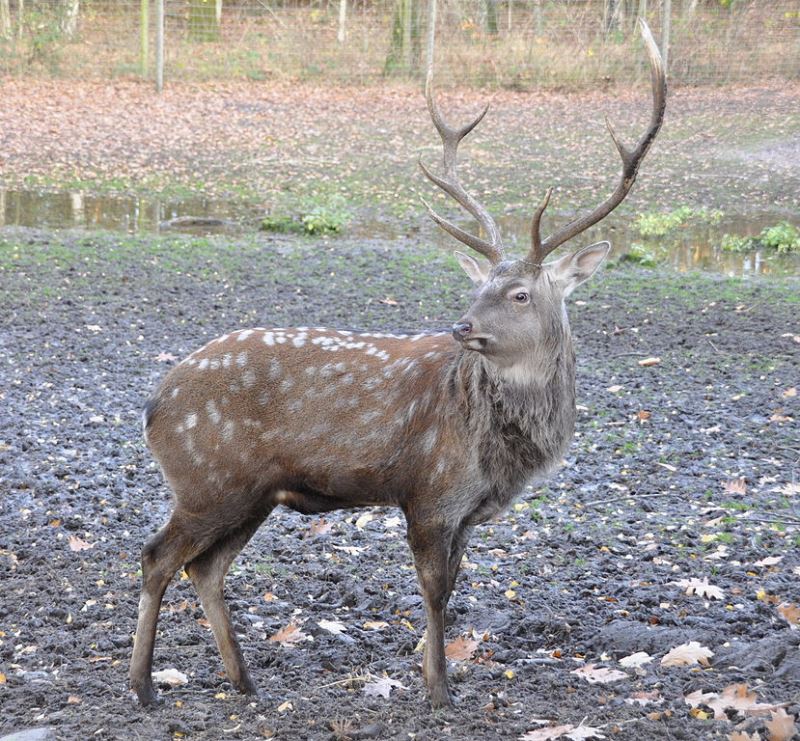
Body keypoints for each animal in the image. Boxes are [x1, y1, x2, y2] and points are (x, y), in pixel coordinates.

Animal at [130, 20, 666, 710]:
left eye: (520, 294)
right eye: (478, 286)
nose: (462, 327)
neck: (498, 455)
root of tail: (153, 405)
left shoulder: (467, 512)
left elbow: (454, 589)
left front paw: (439, 680)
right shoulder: (430, 492)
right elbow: (435, 593)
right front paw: (438, 689)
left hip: (249, 494)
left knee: (205, 566)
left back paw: (243, 679)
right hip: (206, 479)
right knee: (158, 556)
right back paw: (144, 685)